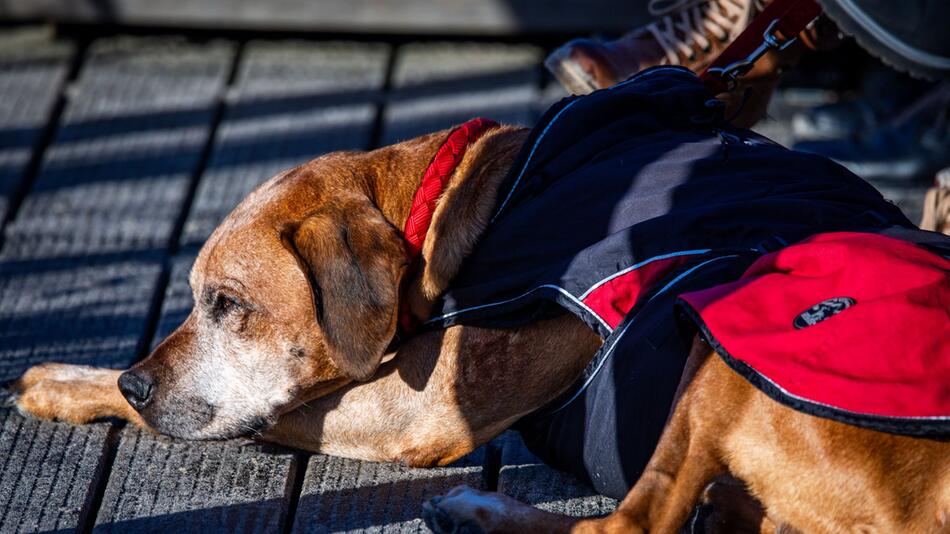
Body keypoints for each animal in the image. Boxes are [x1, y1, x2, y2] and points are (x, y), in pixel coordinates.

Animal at [13, 122, 950, 534]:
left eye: (227, 305)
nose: (136, 380)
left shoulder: (420, 411)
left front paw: (68, 382)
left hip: (722, 353)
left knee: (625, 528)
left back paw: (481, 510)